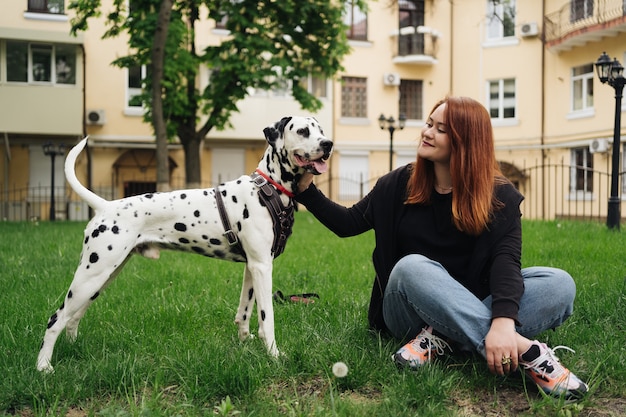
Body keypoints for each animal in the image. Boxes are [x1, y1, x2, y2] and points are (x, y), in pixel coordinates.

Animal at [36, 116, 332, 370]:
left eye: (321, 130)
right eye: (303, 131)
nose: (328, 144)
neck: (267, 188)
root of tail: (105, 206)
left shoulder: (253, 267)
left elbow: (245, 313)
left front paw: (245, 342)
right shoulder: (262, 267)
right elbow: (266, 317)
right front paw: (274, 354)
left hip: (100, 278)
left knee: (72, 318)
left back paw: (74, 349)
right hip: (91, 277)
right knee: (55, 319)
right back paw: (43, 367)